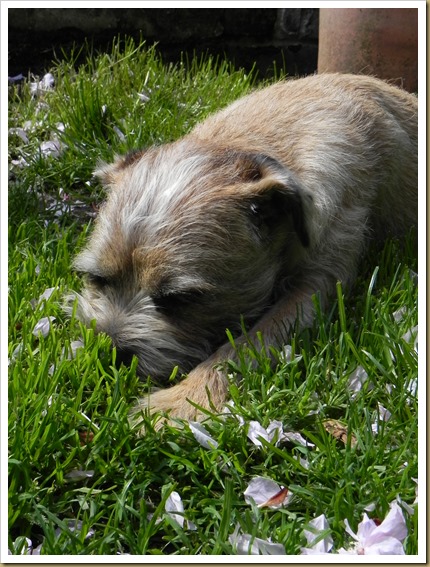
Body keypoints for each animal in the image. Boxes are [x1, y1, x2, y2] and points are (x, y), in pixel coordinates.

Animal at [69, 73, 417, 429]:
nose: (107, 351)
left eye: (180, 300)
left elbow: (246, 345)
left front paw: (181, 400)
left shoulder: (317, 285)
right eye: (96, 279)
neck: (252, 143)